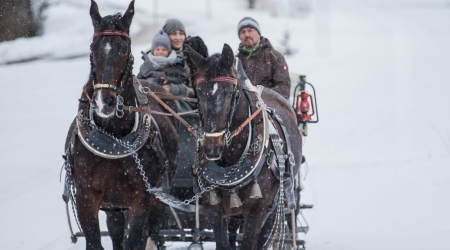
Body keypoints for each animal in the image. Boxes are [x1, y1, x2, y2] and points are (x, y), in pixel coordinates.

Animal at [62, 0, 178, 249]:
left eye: (124, 48)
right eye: (93, 48)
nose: (104, 102)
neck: (112, 136)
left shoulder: (141, 198)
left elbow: (135, 239)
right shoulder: (86, 198)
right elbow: (95, 241)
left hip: (157, 198)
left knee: (151, 230)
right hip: (114, 206)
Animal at [186, 44, 302, 249]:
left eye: (229, 92)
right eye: (198, 91)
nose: (211, 147)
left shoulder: (258, 209)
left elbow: (250, 242)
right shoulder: (214, 210)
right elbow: (224, 244)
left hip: (274, 205)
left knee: (263, 237)